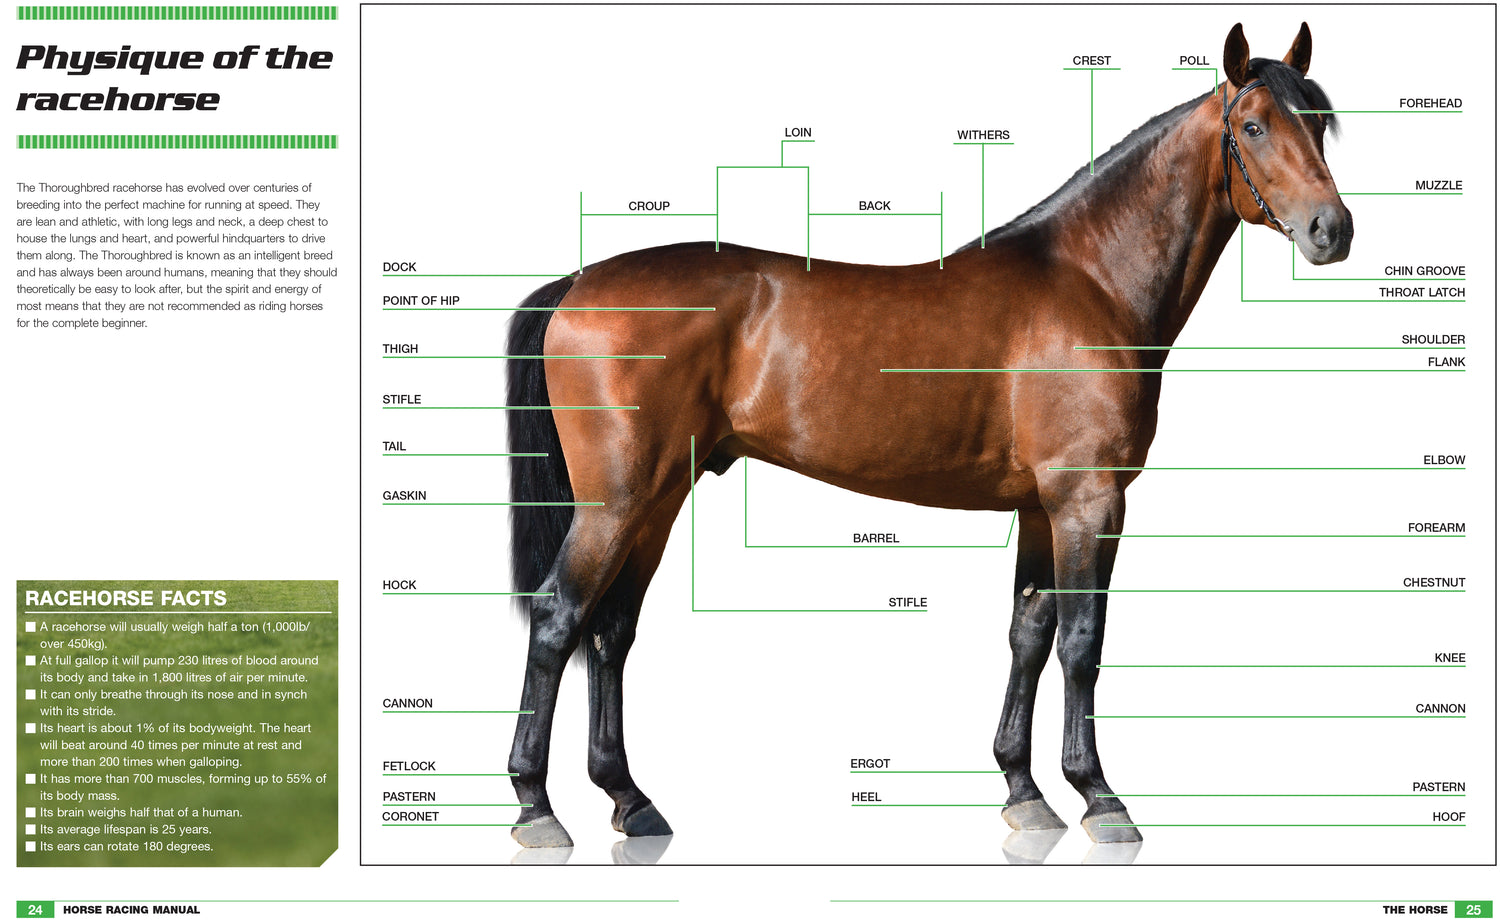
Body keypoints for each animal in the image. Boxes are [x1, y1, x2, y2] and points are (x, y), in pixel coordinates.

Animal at [502, 22, 1352, 848]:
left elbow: (1029, 633)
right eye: (1253, 125)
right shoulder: (1089, 499)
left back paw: (630, 800)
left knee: (610, 632)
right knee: (558, 619)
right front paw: (1100, 798)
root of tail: (577, 284)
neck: (1091, 281)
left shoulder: (1040, 507)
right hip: (618, 501)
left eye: (1318, 124)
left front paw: (1023, 792)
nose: (1331, 230)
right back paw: (537, 808)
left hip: (656, 499)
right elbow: (1082, 641)